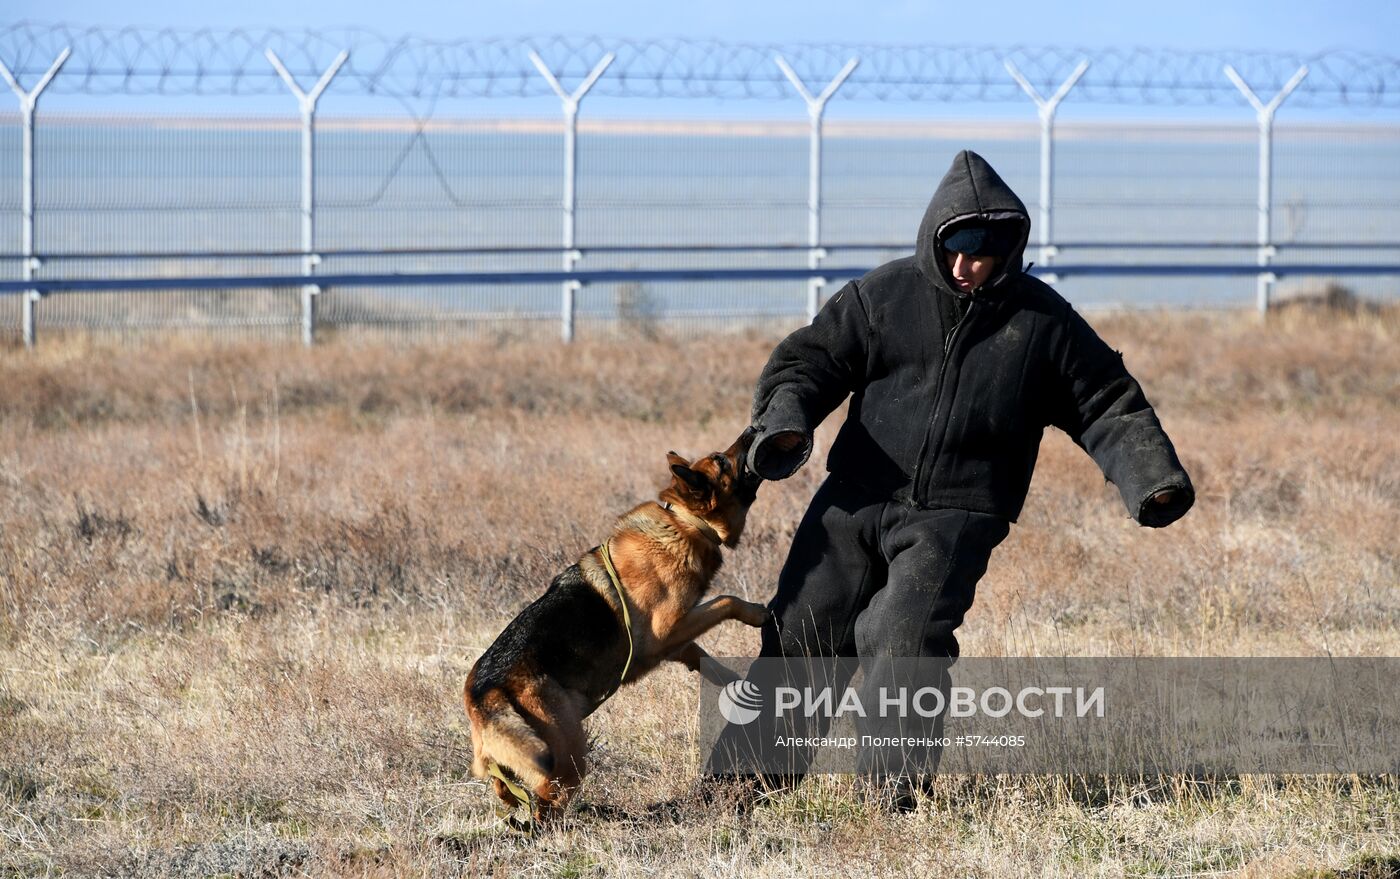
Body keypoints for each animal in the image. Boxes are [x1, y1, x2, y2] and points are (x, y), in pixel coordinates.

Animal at [462, 428, 767, 828]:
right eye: (722, 460)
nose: (753, 430)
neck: (684, 523)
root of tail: (483, 690)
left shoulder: (675, 641)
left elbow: (705, 659)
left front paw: (736, 684)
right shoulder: (666, 630)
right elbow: (727, 601)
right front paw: (759, 613)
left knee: (507, 787)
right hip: (568, 752)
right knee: (546, 806)